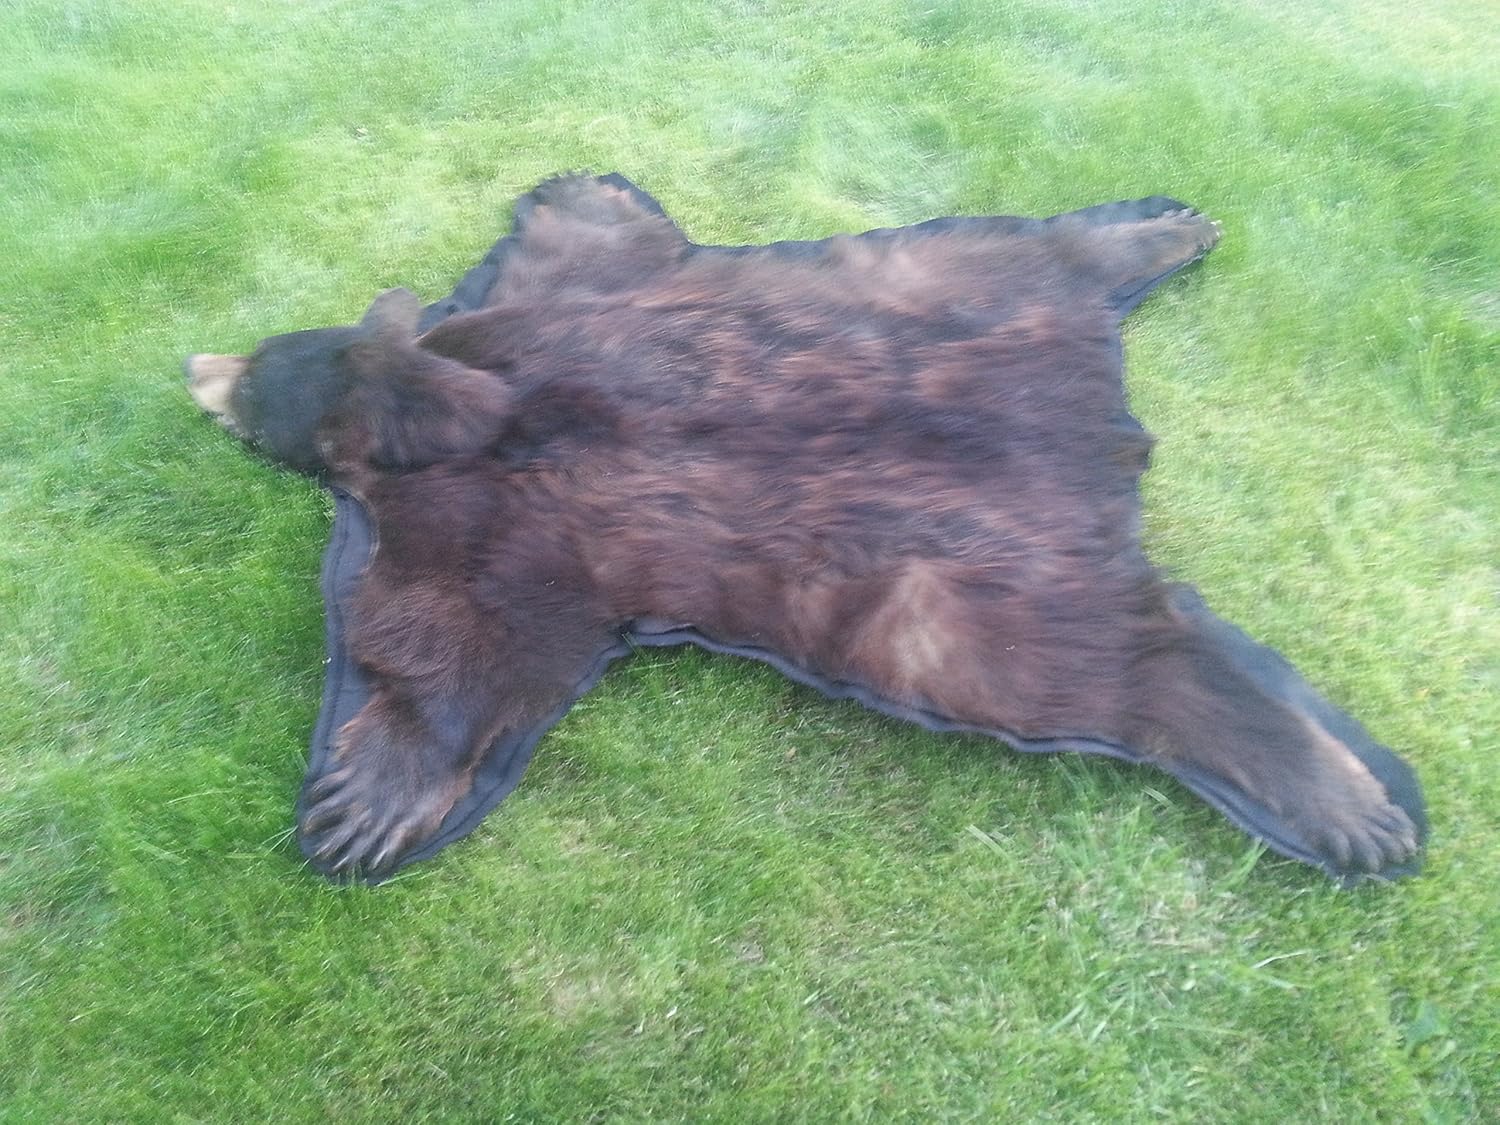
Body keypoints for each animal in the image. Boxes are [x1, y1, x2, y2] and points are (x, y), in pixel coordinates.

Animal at [185, 173, 1426, 883]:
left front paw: (362, 802)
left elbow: (454, 637)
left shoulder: (491, 519)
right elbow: (600, 238)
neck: (448, 402)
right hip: (934, 296)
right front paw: (589, 183)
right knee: (1028, 253)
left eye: (248, 376)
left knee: (1113, 671)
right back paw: (1162, 230)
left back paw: (1349, 807)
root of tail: (1103, 427)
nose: (195, 363)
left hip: (951, 602)